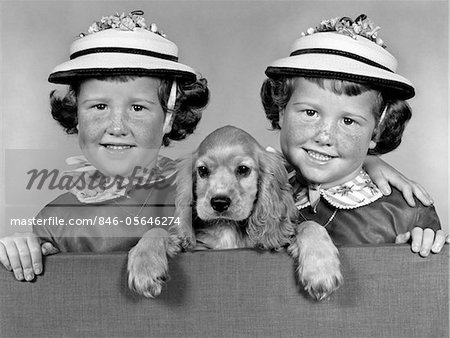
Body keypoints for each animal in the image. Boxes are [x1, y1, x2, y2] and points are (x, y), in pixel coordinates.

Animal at [126, 125, 342, 300]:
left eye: (243, 169)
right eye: (202, 171)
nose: (219, 202)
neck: (227, 227)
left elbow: (309, 225)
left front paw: (321, 271)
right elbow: (156, 231)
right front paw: (145, 268)